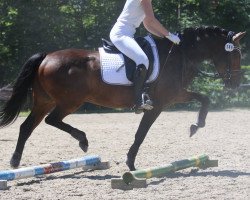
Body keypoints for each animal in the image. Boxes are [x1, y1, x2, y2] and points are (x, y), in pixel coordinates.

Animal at [0, 26, 246, 170]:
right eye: (235, 54)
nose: (234, 84)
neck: (181, 54)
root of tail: (46, 56)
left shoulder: (175, 95)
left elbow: (205, 99)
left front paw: (196, 126)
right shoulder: (159, 103)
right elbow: (141, 133)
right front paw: (131, 163)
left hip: (45, 101)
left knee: (26, 126)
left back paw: (15, 161)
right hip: (70, 101)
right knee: (52, 120)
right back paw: (83, 140)